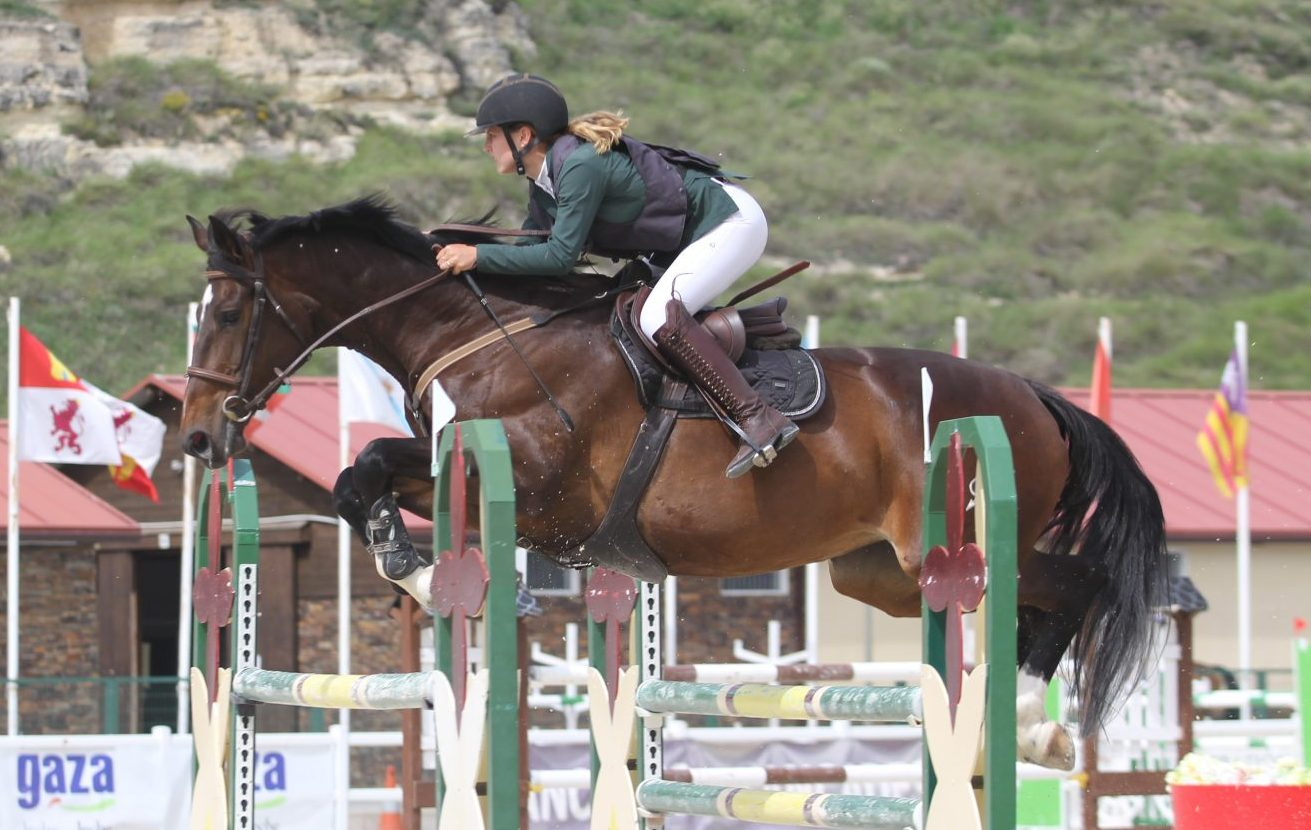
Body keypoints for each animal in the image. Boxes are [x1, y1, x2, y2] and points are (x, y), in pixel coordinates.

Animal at [179, 196, 1168, 771]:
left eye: (224, 311)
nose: (195, 435)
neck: (477, 330)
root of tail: (1034, 394)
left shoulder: (538, 492)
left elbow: (378, 476)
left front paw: (432, 575)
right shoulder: (453, 470)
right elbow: (362, 472)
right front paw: (408, 564)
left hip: (950, 541)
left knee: (1071, 584)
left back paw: (1031, 721)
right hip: (878, 571)